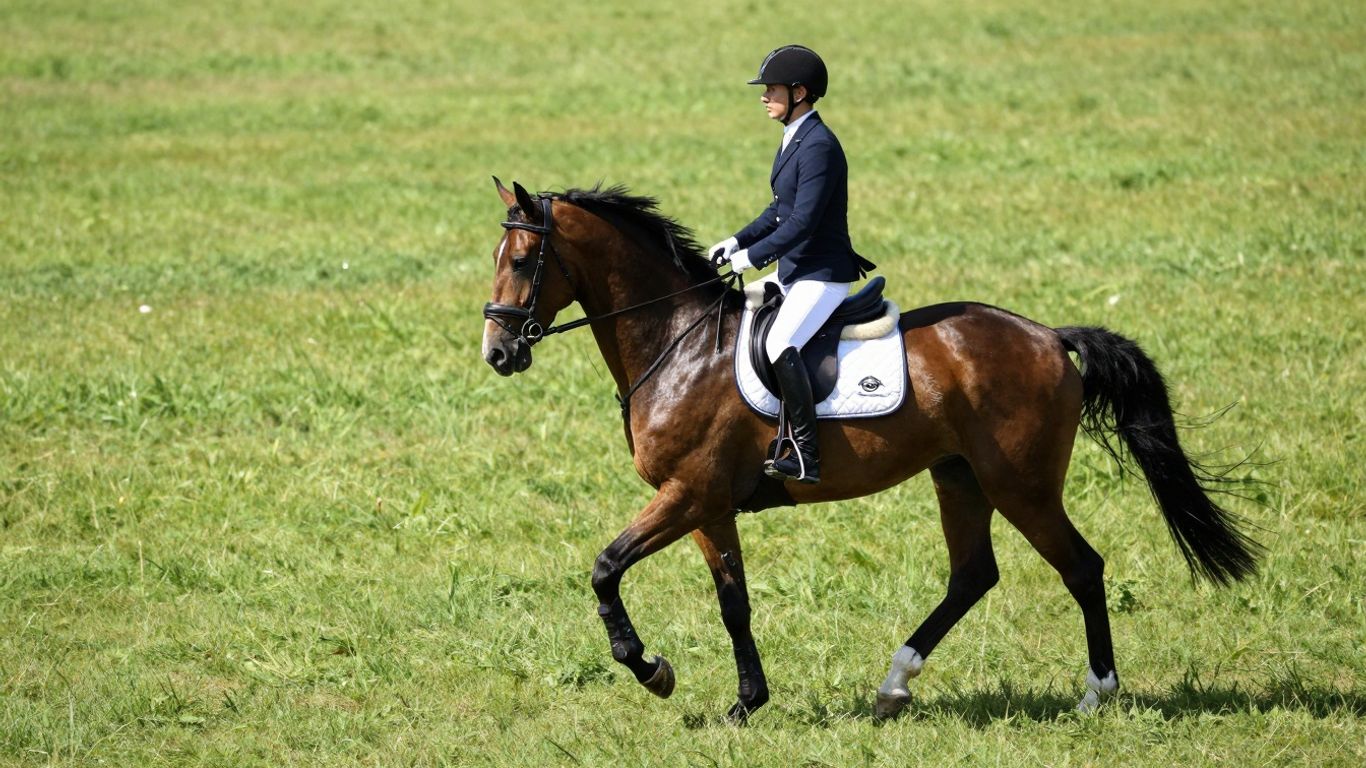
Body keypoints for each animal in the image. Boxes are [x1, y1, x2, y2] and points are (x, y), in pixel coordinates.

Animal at [480, 178, 1261, 722]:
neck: (678, 343)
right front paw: (745, 704)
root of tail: (1048, 336)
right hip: (959, 478)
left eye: (521, 258)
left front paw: (650, 670)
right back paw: (893, 686)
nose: (498, 352)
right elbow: (735, 603)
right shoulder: (708, 505)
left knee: (1081, 567)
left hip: (1021, 485)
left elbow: (606, 568)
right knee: (972, 576)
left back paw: (1097, 693)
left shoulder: (689, 494)